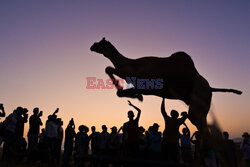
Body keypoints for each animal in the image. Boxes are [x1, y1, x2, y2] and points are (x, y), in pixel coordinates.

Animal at [90, 36, 240, 141]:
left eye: (101, 42)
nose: (92, 46)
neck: (133, 65)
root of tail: (211, 88)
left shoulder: (143, 82)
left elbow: (117, 83)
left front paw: (136, 96)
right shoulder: (139, 85)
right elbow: (118, 89)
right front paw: (136, 96)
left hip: (199, 102)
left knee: (203, 127)